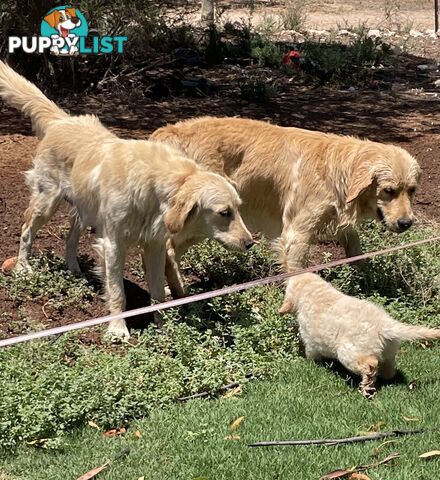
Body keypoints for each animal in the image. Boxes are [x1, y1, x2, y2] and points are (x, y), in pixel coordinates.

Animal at [0, 62, 253, 342]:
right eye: (224, 212)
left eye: (238, 209)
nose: (250, 243)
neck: (155, 186)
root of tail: (63, 120)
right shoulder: (113, 244)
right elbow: (117, 291)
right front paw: (117, 329)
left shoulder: (154, 246)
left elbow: (158, 293)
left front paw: (163, 328)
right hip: (46, 202)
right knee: (26, 231)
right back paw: (23, 267)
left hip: (85, 211)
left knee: (70, 236)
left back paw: (73, 267)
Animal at [151, 116, 422, 284]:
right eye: (388, 190)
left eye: (412, 190)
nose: (407, 223)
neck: (337, 170)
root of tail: (169, 131)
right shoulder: (296, 235)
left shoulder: (338, 223)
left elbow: (356, 251)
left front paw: (366, 283)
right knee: (168, 249)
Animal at [280, 274, 440, 398]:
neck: (315, 292)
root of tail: (385, 325)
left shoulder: (310, 341)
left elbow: (312, 354)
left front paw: (312, 364)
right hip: (388, 352)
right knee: (388, 369)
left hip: (349, 353)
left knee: (370, 364)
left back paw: (366, 386)